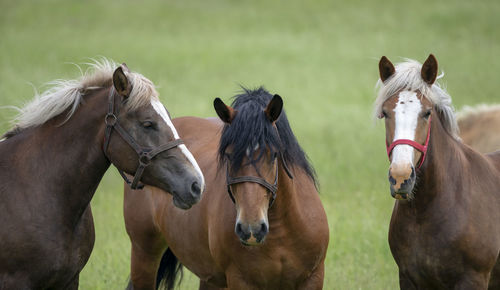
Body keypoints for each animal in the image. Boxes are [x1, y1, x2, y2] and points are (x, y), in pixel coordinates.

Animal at [123, 87, 330, 288]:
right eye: (229, 156)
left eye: (274, 155)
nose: (251, 229)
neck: (281, 234)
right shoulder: (240, 281)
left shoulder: (313, 278)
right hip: (144, 254)